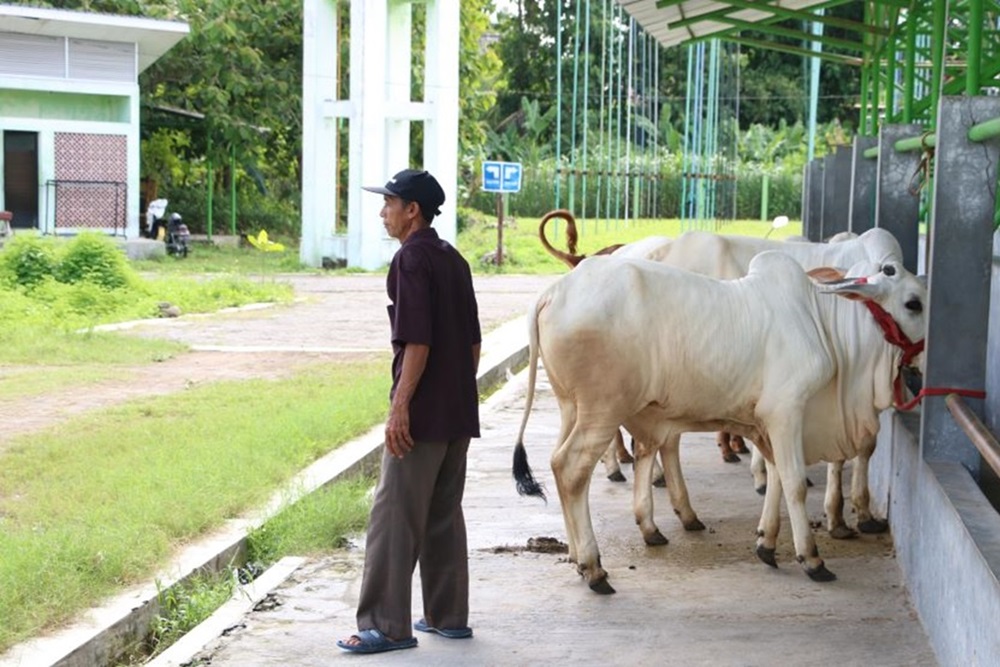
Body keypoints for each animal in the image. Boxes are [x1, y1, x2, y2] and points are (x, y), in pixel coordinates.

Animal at [516, 252, 928, 596]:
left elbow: (776, 477)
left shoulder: (768, 423)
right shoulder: (787, 411)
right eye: (914, 303)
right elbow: (793, 483)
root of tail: (554, 291)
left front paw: (766, 543)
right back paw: (594, 567)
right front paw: (811, 559)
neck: (824, 325)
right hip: (602, 411)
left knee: (558, 465)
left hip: (571, 408)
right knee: (571, 469)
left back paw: (577, 556)